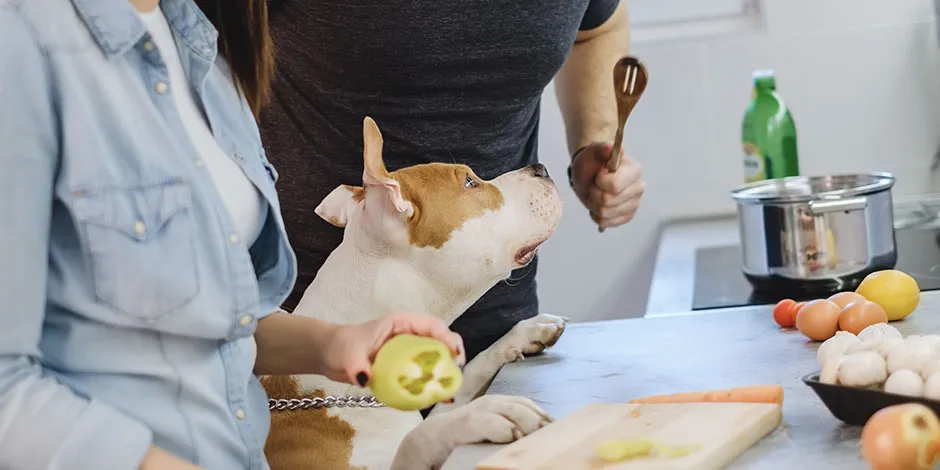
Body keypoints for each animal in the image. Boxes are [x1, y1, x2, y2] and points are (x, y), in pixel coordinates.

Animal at [258, 117, 564, 470]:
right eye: (470, 182)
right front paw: (488, 411)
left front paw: (524, 334)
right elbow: (417, 438)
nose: (540, 168)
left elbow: (468, 375)